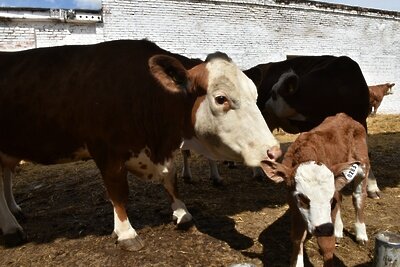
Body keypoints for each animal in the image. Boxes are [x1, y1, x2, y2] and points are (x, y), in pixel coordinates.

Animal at [0, 39, 282, 251]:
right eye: (221, 98)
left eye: (255, 95)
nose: (274, 151)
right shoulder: (106, 152)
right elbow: (118, 192)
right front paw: (126, 232)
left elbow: (171, 179)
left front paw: (181, 212)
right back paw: (10, 226)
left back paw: (14, 210)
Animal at [260, 113, 370, 267]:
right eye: (301, 197)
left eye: (330, 199)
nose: (325, 228)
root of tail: (344, 116)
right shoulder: (293, 202)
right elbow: (297, 236)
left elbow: (326, 244)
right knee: (341, 198)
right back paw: (338, 230)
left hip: (363, 164)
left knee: (358, 197)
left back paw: (361, 235)